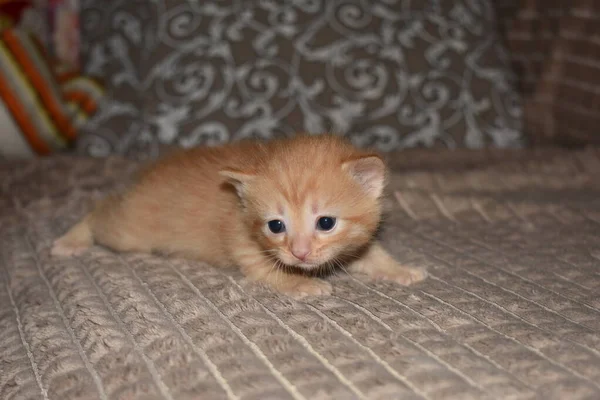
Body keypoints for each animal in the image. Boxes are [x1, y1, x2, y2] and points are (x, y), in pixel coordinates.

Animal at [51, 134, 426, 296]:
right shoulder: (244, 244)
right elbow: (269, 271)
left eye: (326, 222)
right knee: (101, 210)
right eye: (276, 226)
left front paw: (400, 269)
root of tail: (145, 179)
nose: (300, 253)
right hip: (130, 232)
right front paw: (301, 284)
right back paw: (70, 239)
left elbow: (370, 252)